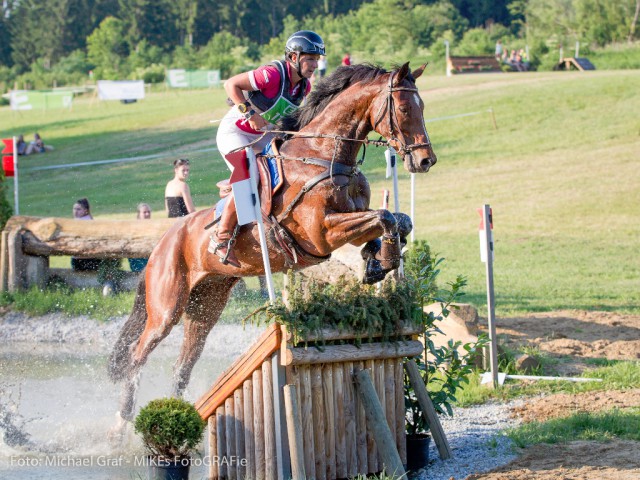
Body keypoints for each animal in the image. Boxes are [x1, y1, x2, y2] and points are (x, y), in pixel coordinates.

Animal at [109, 62, 436, 434]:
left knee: (182, 365)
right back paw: (122, 421)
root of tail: (161, 243)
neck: (325, 155)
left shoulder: (351, 219)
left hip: (206, 307)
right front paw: (382, 261)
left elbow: (396, 219)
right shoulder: (322, 233)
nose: (426, 161)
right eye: (405, 108)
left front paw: (378, 262)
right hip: (167, 308)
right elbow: (384, 216)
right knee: (137, 354)